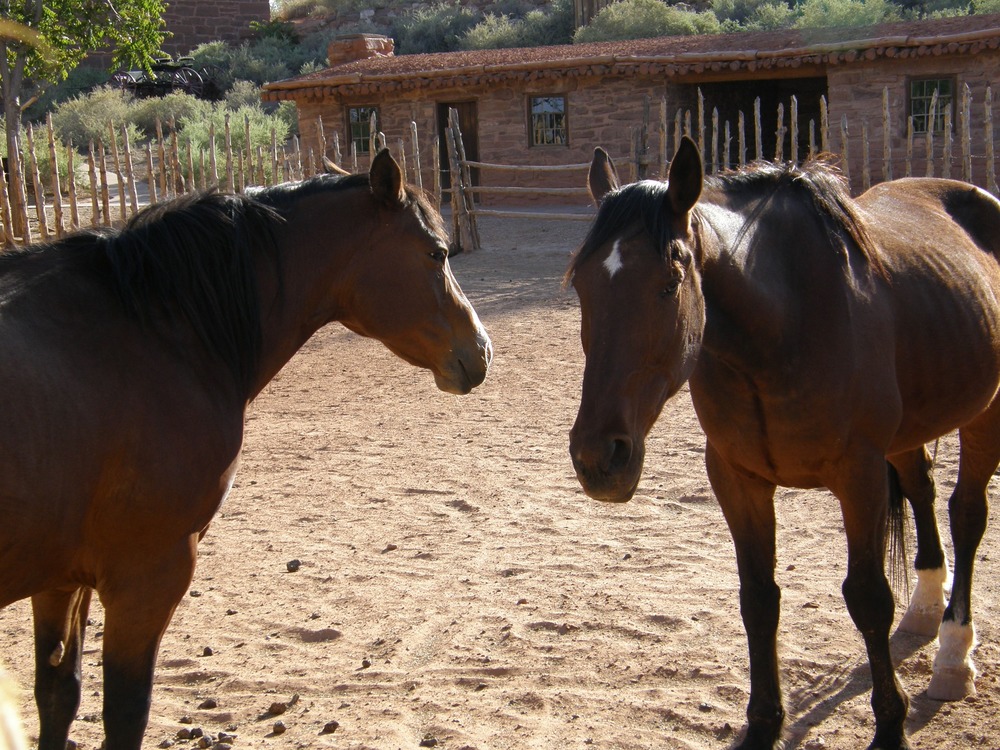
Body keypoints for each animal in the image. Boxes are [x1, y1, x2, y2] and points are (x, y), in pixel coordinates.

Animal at [0, 149, 492, 750]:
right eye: (437, 252)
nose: (482, 350)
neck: (155, 329)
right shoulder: (147, 575)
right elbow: (125, 711)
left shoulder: (59, 579)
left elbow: (58, 695)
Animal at [566, 137, 1000, 750]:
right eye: (582, 285)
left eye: (670, 281)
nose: (597, 457)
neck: (784, 328)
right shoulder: (737, 478)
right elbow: (758, 599)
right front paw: (764, 723)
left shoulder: (859, 476)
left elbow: (868, 599)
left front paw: (890, 726)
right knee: (923, 490)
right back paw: (925, 610)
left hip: (985, 415)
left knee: (967, 514)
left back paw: (953, 656)